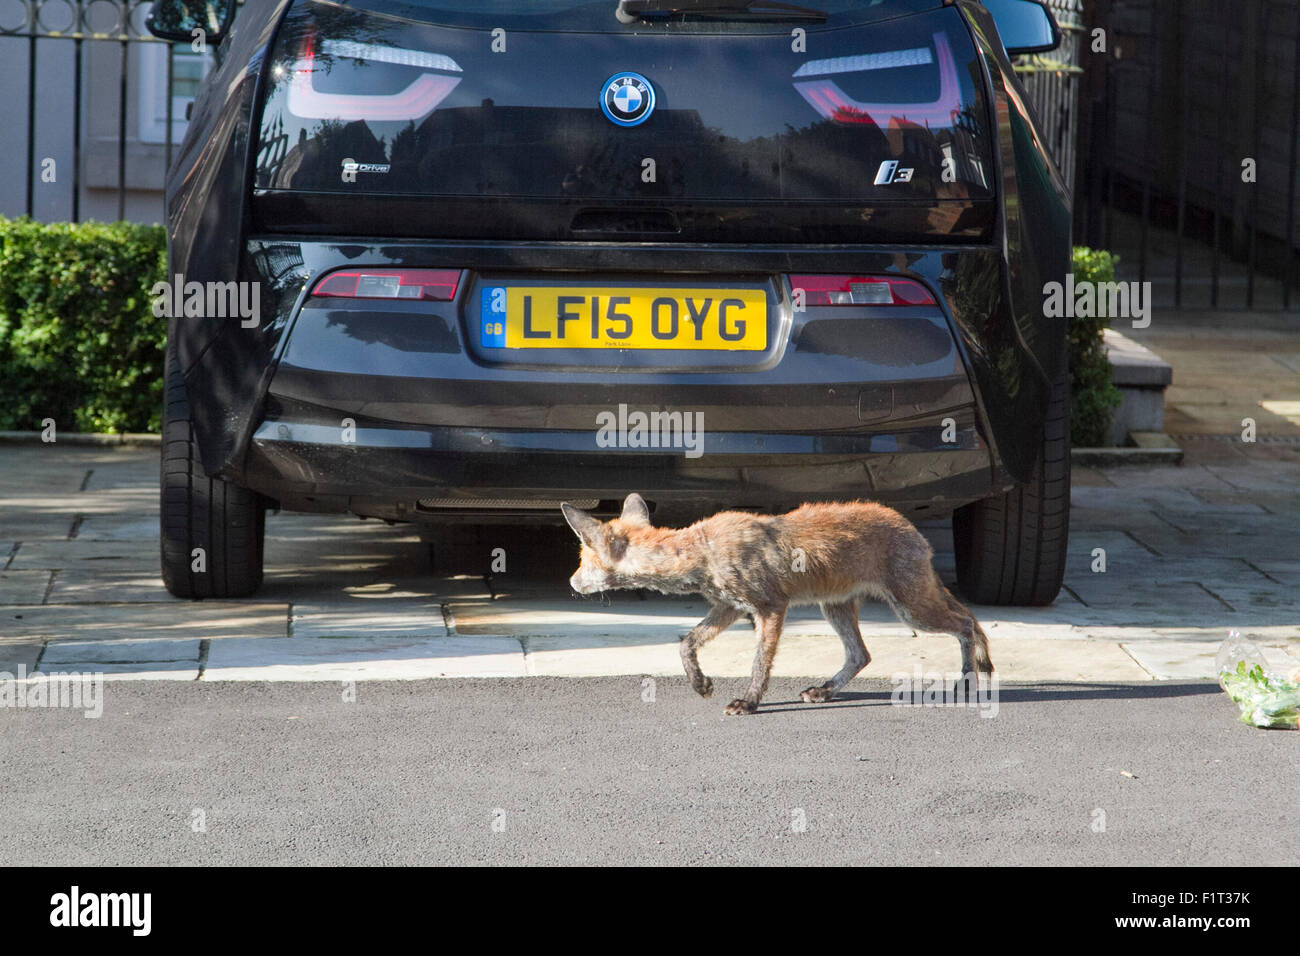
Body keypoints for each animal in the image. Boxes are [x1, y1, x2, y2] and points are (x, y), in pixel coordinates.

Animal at [561, 496, 993, 712]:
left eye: (582, 559)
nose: (570, 582)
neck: (703, 551)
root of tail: (911, 527)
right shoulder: (729, 607)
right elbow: (685, 644)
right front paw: (700, 684)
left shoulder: (770, 607)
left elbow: (759, 664)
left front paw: (750, 703)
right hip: (837, 608)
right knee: (861, 655)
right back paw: (825, 692)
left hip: (911, 608)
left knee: (965, 625)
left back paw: (968, 680)